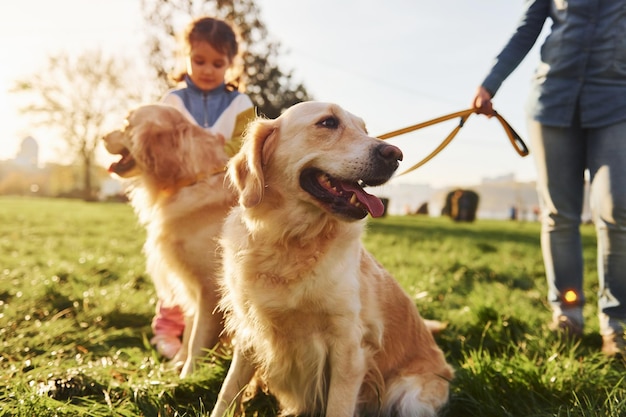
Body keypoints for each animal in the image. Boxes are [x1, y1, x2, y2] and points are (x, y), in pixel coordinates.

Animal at [103, 104, 234, 376]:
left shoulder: (210, 290)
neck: (192, 181)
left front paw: (187, 376)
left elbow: (197, 341)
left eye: (126, 124)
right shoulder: (190, 285)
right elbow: (189, 333)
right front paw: (175, 367)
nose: (102, 137)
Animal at [212, 101, 450, 416]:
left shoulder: (348, 347)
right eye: (328, 123)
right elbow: (227, 391)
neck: (290, 241)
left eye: (365, 129)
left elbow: (338, 406)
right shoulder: (249, 332)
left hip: (411, 398)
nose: (395, 154)